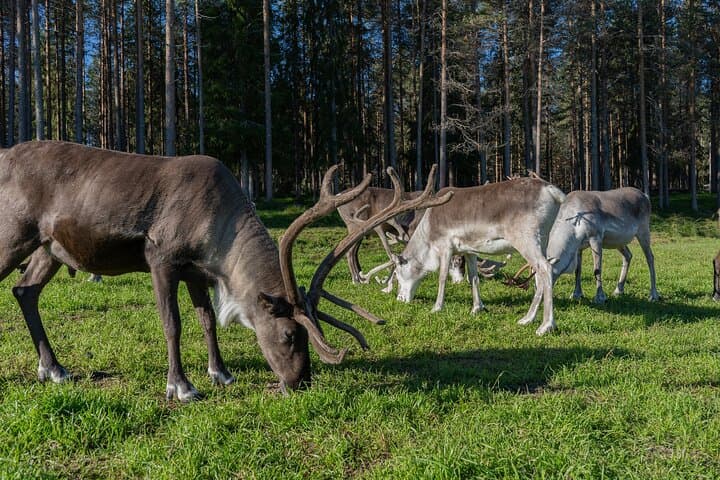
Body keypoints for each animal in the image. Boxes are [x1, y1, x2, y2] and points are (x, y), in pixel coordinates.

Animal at [0, 141, 451, 401]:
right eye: (289, 335)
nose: (300, 382)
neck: (218, 231)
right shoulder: (161, 259)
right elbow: (173, 323)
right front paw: (181, 386)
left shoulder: (197, 271)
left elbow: (207, 321)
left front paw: (221, 373)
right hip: (14, 233)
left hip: (50, 247)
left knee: (25, 291)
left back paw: (54, 369)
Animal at [392, 176, 567, 335]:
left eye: (397, 273)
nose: (400, 299)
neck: (428, 231)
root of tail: (551, 190)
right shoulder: (469, 250)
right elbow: (473, 277)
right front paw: (477, 308)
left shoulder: (445, 246)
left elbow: (442, 278)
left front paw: (436, 308)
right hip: (543, 240)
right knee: (540, 272)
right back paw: (527, 319)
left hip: (526, 239)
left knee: (545, 267)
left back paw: (545, 326)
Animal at [520, 187, 659, 325]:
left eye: (545, 275)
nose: (540, 293)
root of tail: (645, 196)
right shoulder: (578, 247)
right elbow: (578, 271)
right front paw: (576, 294)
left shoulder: (596, 238)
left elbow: (597, 270)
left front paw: (600, 297)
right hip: (618, 242)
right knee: (628, 256)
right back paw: (618, 290)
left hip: (643, 231)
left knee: (650, 258)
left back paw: (653, 295)